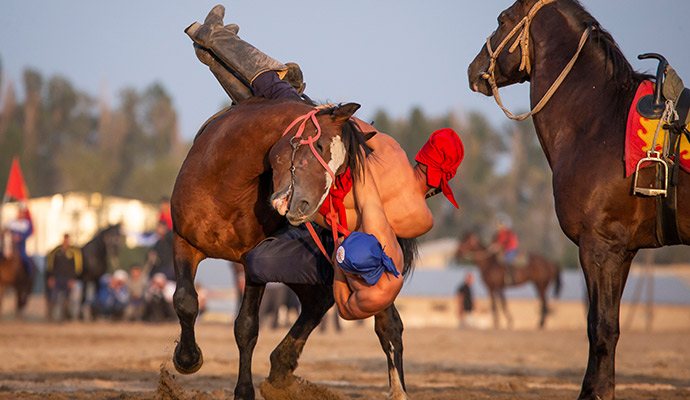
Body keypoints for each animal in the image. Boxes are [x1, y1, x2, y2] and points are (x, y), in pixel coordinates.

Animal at [171, 97, 412, 400]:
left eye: (341, 167)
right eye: (318, 145)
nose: (308, 207)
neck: (225, 183)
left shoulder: (251, 261)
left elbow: (246, 326)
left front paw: (243, 390)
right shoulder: (183, 241)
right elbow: (185, 300)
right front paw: (187, 359)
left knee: (388, 325)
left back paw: (398, 390)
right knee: (319, 302)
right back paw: (280, 369)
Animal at [464, 0, 684, 396]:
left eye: (502, 18)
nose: (474, 70)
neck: (599, 122)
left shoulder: (599, 246)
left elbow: (600, 326)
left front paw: (596, 392)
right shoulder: (623, 251)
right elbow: (606, 324)